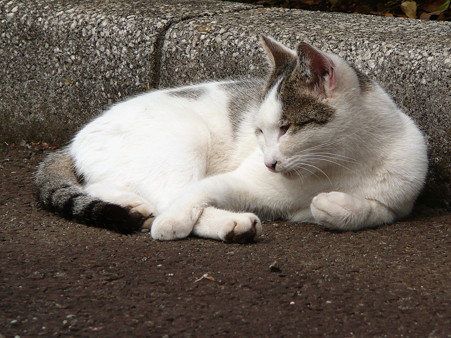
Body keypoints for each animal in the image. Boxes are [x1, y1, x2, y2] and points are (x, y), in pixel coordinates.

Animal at [34, 36, 428, 243]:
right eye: (259, 132)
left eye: (285, 128)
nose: (270, 162)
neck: (340, 166)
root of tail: (75, 138)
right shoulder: (243, 181)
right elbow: (194, 194)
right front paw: (172, 224)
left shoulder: (399, 202)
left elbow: (371, 210)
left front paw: (333, 206)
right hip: (181, 142)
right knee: (167, 194)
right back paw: (224, 223)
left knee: (103, 185)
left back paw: (135, 205)